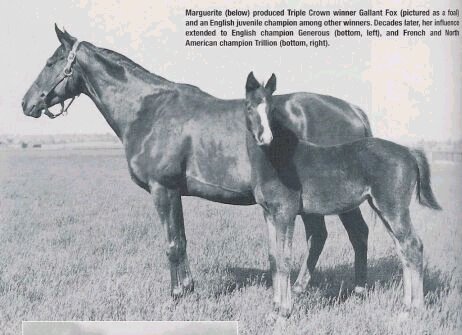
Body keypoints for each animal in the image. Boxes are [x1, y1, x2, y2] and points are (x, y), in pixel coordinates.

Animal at [242, 73, 440, 318]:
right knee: (403, 248)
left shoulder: (286, 213)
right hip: (384, 209)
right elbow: (273, 258)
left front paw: (285, 311)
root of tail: (409, 152)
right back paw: (405, 304)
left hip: (393, 208)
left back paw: (415, 308)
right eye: (249, 107)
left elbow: (285, 259)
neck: (275, 158)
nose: (265, 137)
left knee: (413, 245)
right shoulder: (269, 213)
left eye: (271, 109)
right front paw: (276, 306)